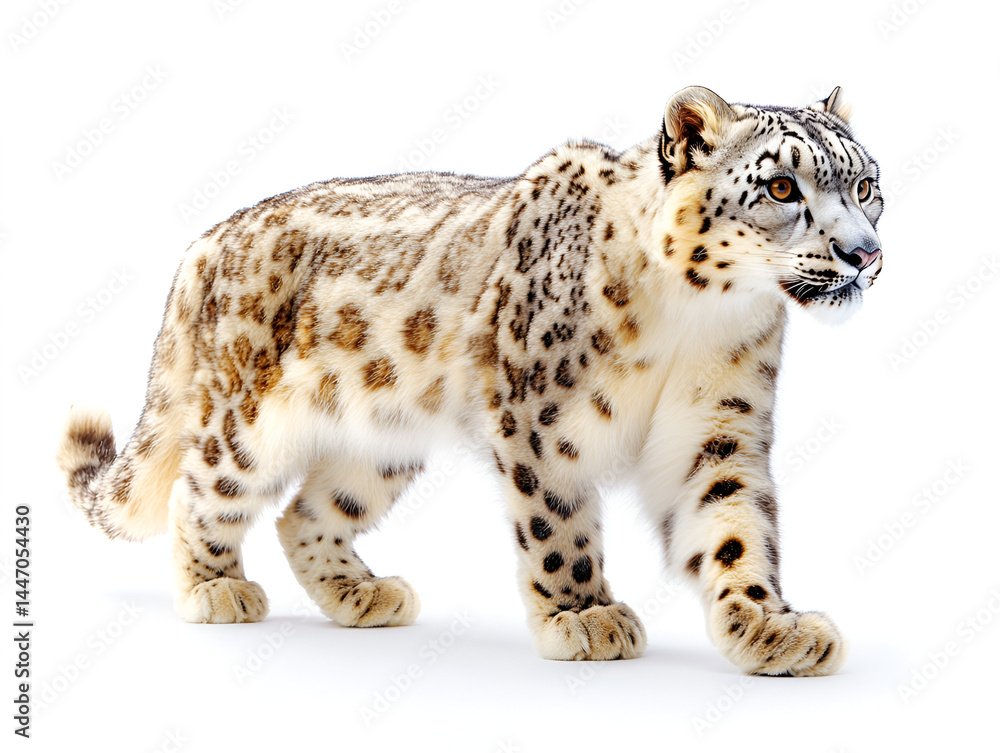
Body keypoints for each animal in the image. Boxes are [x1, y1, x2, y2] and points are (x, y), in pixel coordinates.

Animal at [58, 86, 882, 676]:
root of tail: (206, 241)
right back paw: (214, 586)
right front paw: (583, 613)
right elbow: (560, 523)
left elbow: (736, 529)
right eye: (782, 187)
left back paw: (361, 592)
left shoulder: (718, 428)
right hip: (247, 421)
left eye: (868, 184)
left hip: (380, 442)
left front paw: (772, 626)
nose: (864, 253)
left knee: (305, 512)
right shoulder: (541, 418)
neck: (698, 320)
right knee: (203, 488)